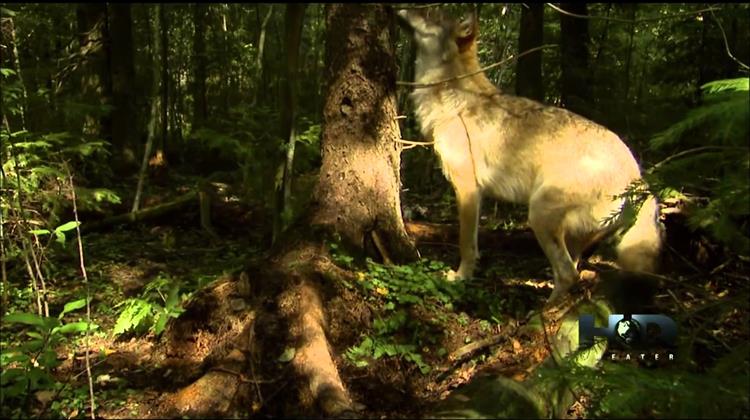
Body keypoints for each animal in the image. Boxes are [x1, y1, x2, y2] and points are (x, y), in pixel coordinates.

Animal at [400, 7, 664, 302]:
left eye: (430, 15)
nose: (399, 8)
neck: (453, 98)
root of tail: (637, 174)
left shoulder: (467, 188)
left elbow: (466, 243)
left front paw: (460, 278)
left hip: (538, 214)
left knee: (568, 274)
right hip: (569, 233)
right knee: (572, 270)